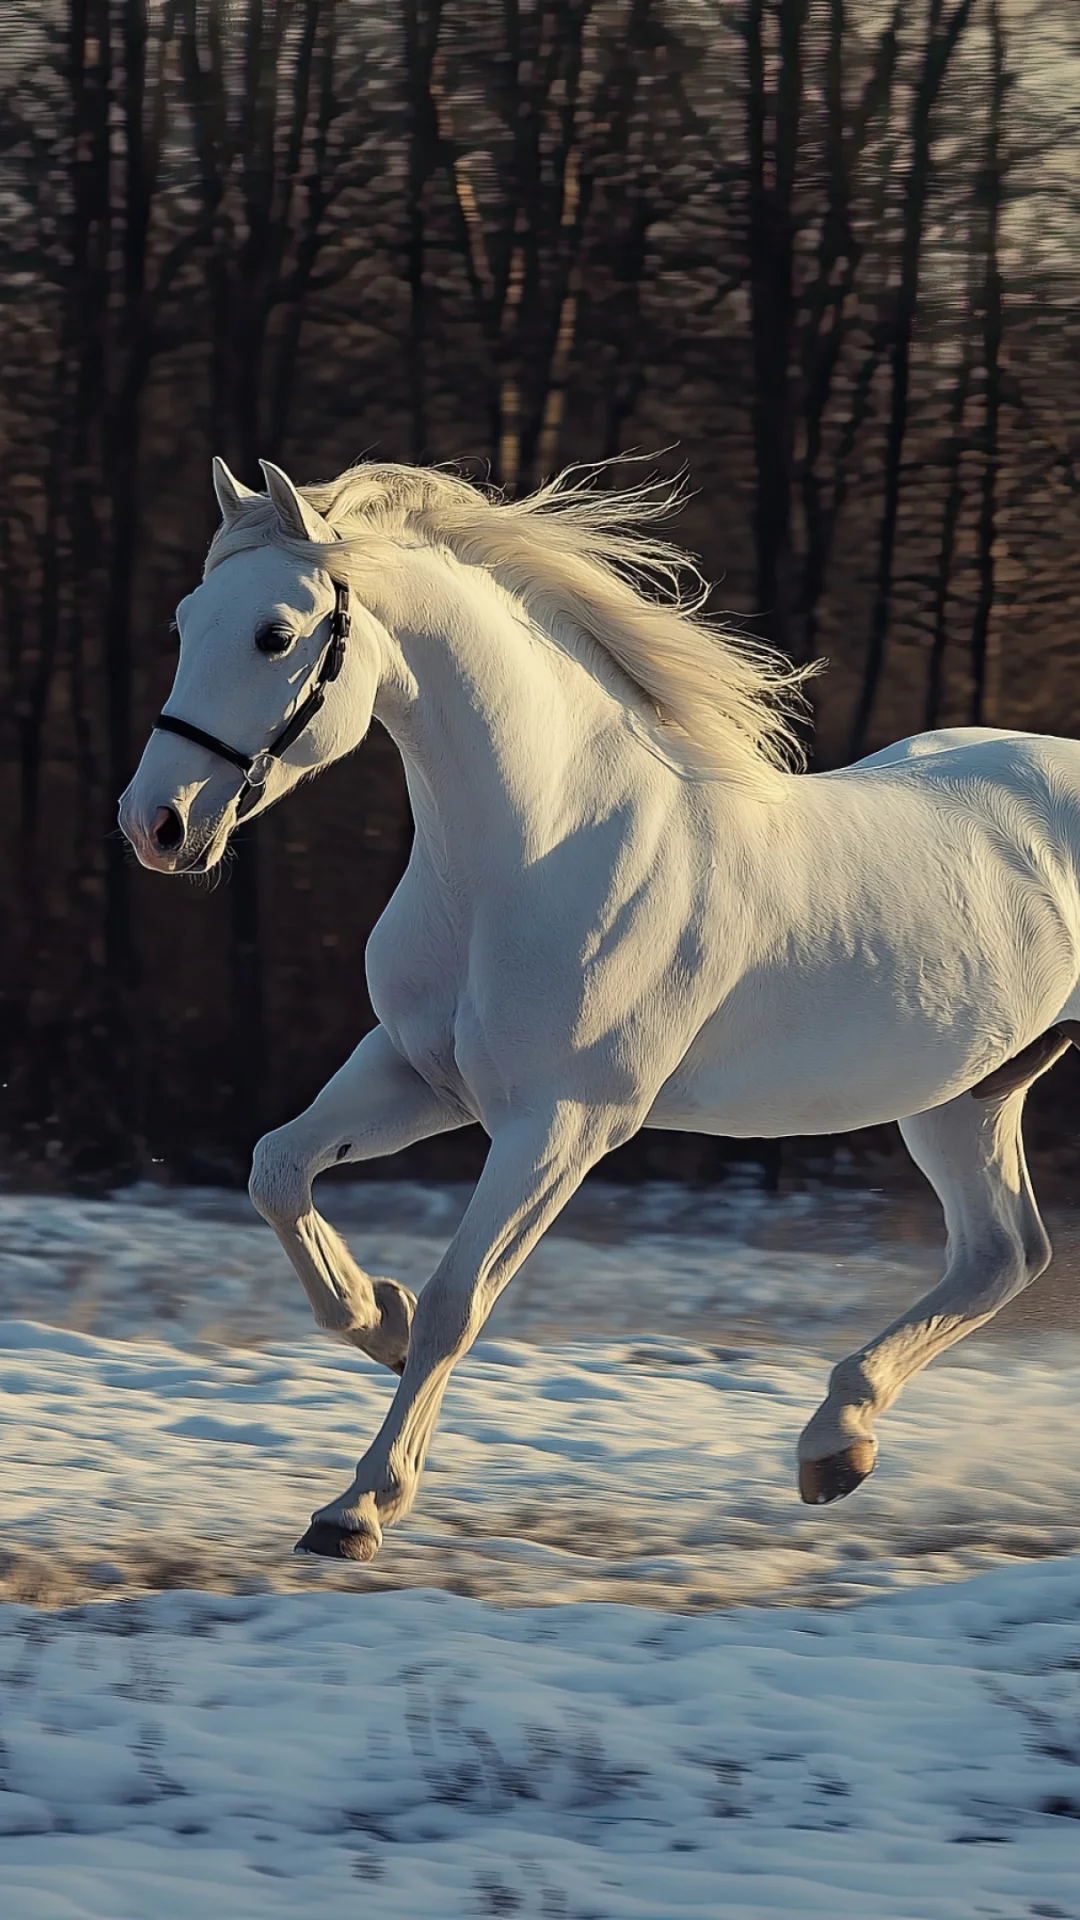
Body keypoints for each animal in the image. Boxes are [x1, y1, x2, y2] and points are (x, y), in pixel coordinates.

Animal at [120, 455, 1080, 1562]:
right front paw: (377, 1320)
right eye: (185, 619)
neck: (531, 855)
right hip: (963, 1096)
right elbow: (277, 1171)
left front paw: (358, 1507)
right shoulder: (416, 1076)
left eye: (275, 634)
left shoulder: (565, 1125)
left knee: (1004, 1254)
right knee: (1003, 1254)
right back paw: (836, 1446)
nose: (154, 824)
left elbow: (460, 1300)